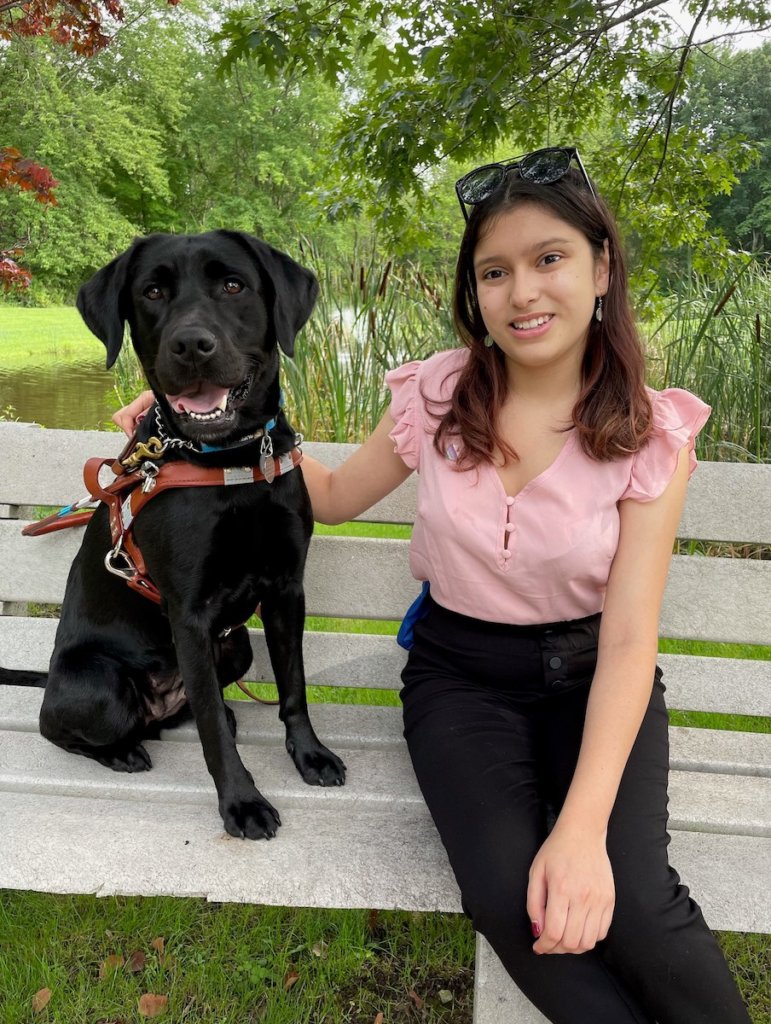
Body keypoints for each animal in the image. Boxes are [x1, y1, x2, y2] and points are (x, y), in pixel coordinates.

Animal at [12, 232, 341, 839]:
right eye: (153, 292)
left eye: (233, 285)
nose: (191, 345)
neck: (232, 462)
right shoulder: (189, 612)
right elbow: (210, 729)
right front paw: (242, 802)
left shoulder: (287, 591)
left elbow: (294, 688)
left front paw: (310, 755)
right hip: (100, 685)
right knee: (69, 730)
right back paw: (121, 751)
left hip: (234, 645)